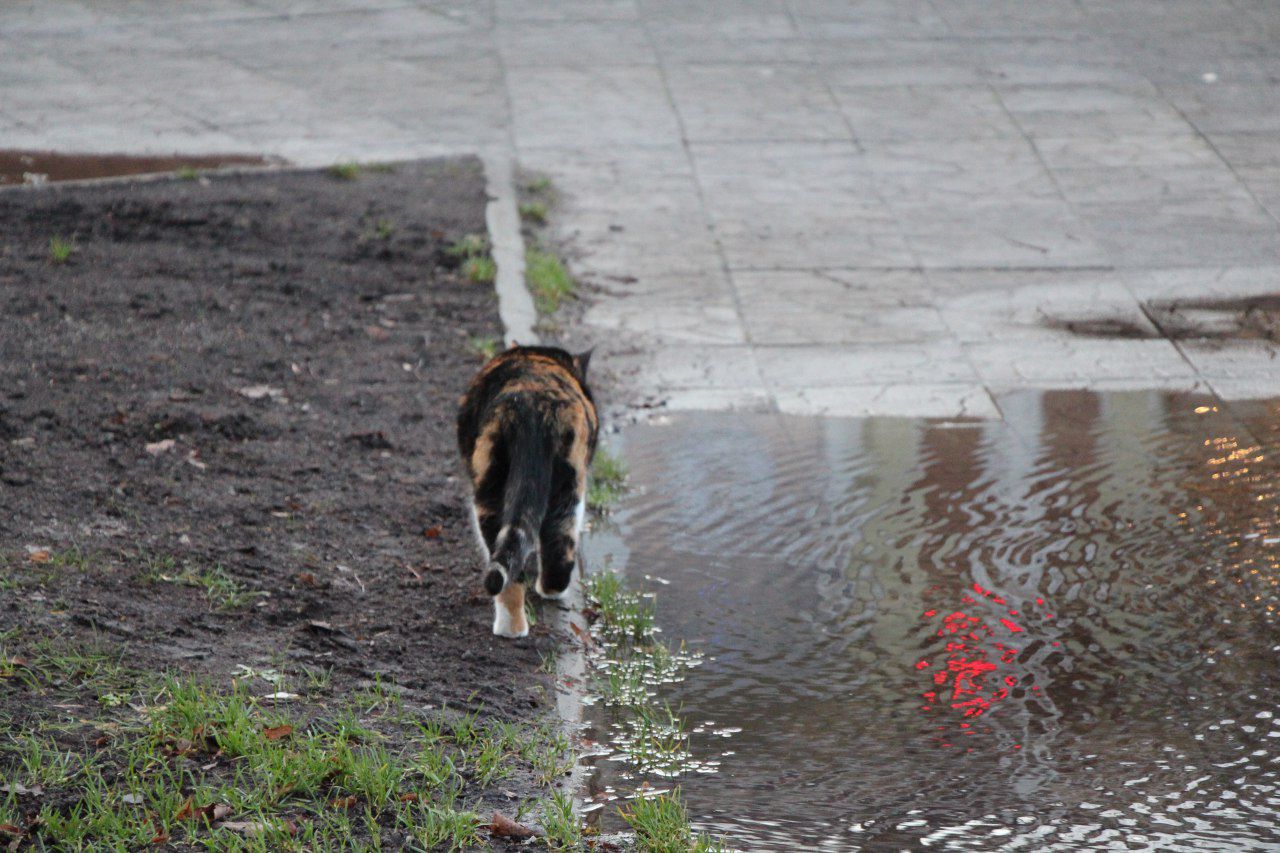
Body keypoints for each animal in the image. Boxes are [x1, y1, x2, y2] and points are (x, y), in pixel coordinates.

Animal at [458, 343, 596, 635]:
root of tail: (535, 408)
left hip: (489, 486)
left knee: (505, 566)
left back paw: (509, 627)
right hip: (570, 482)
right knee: (560, 543)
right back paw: (550, 592)